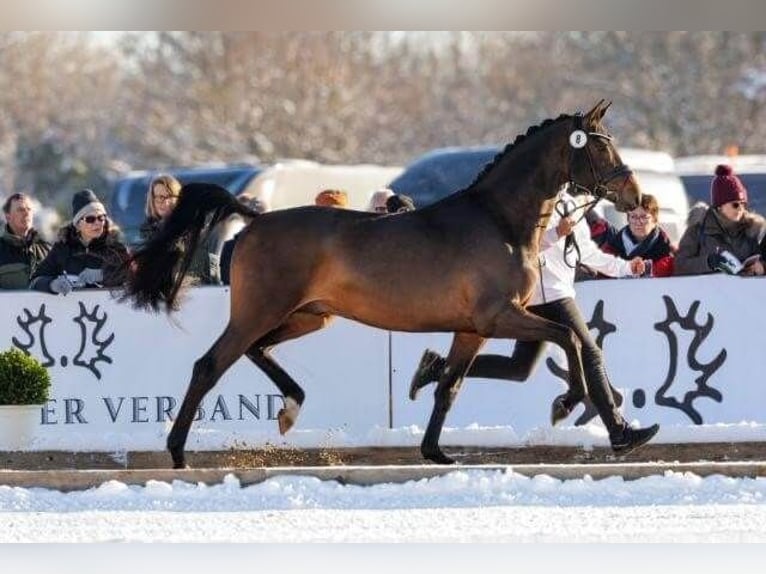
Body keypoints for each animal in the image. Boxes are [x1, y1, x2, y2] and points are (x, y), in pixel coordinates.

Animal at [123, 100, 644, 468]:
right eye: (600, 146)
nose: (634, 196)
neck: (498, 221)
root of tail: (254, 219)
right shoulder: (498, 316)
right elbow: (568, 337)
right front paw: (568, 404)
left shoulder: (472, 328)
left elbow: (449, 385)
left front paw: (435, 452)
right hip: (259, 311)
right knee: (209, 365)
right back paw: (178, 452)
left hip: (309, 317)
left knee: (257, 351)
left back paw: (290, 408)